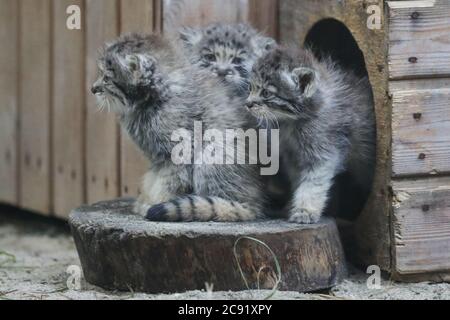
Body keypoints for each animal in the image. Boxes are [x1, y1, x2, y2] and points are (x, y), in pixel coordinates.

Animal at [92, 33, 268, 222]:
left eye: (106, 78)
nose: (93, 89)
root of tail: (256, 200)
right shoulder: (157, 157)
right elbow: (153, 178)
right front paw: (146, 199)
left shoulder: (180, 151)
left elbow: (170, 182)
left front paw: (157, 202)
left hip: (211, 154)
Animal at [246, 47, 376, 225]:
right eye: (250, 87)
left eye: (266, 93)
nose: (247, 103)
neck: (292, 123)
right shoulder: (293, 156)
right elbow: (298, 181)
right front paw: (291, 206)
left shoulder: (323, 152)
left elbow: (312, 184)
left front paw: (305, 210)